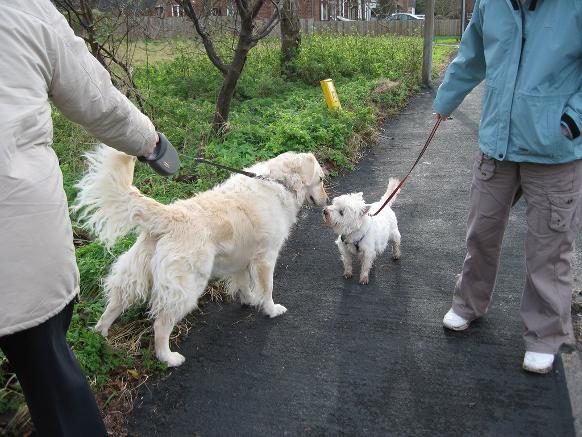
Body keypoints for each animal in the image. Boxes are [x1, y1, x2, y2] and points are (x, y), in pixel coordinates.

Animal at [73, 146, 328, 364]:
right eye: (321, 179)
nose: (326, 203)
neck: (280, 183)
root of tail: (170, 215)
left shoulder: (242, 257)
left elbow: (244, 283)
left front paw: (248, 300)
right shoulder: (266, 257)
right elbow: (267, 289)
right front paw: (271, 309)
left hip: (135, 276)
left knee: (114, 305)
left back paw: (99, 336)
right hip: (186, 288)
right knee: (160, 325)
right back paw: (169, 358)